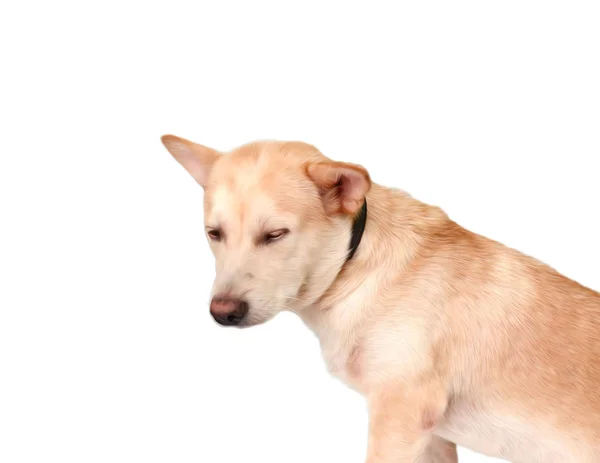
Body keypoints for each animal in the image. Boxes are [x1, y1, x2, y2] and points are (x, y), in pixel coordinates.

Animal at [161, 135, 600, 463]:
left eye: (275, 235)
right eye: (214, 233)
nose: (223, 312)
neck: (354, 272)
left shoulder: (401, 415)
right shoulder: (432, 435)